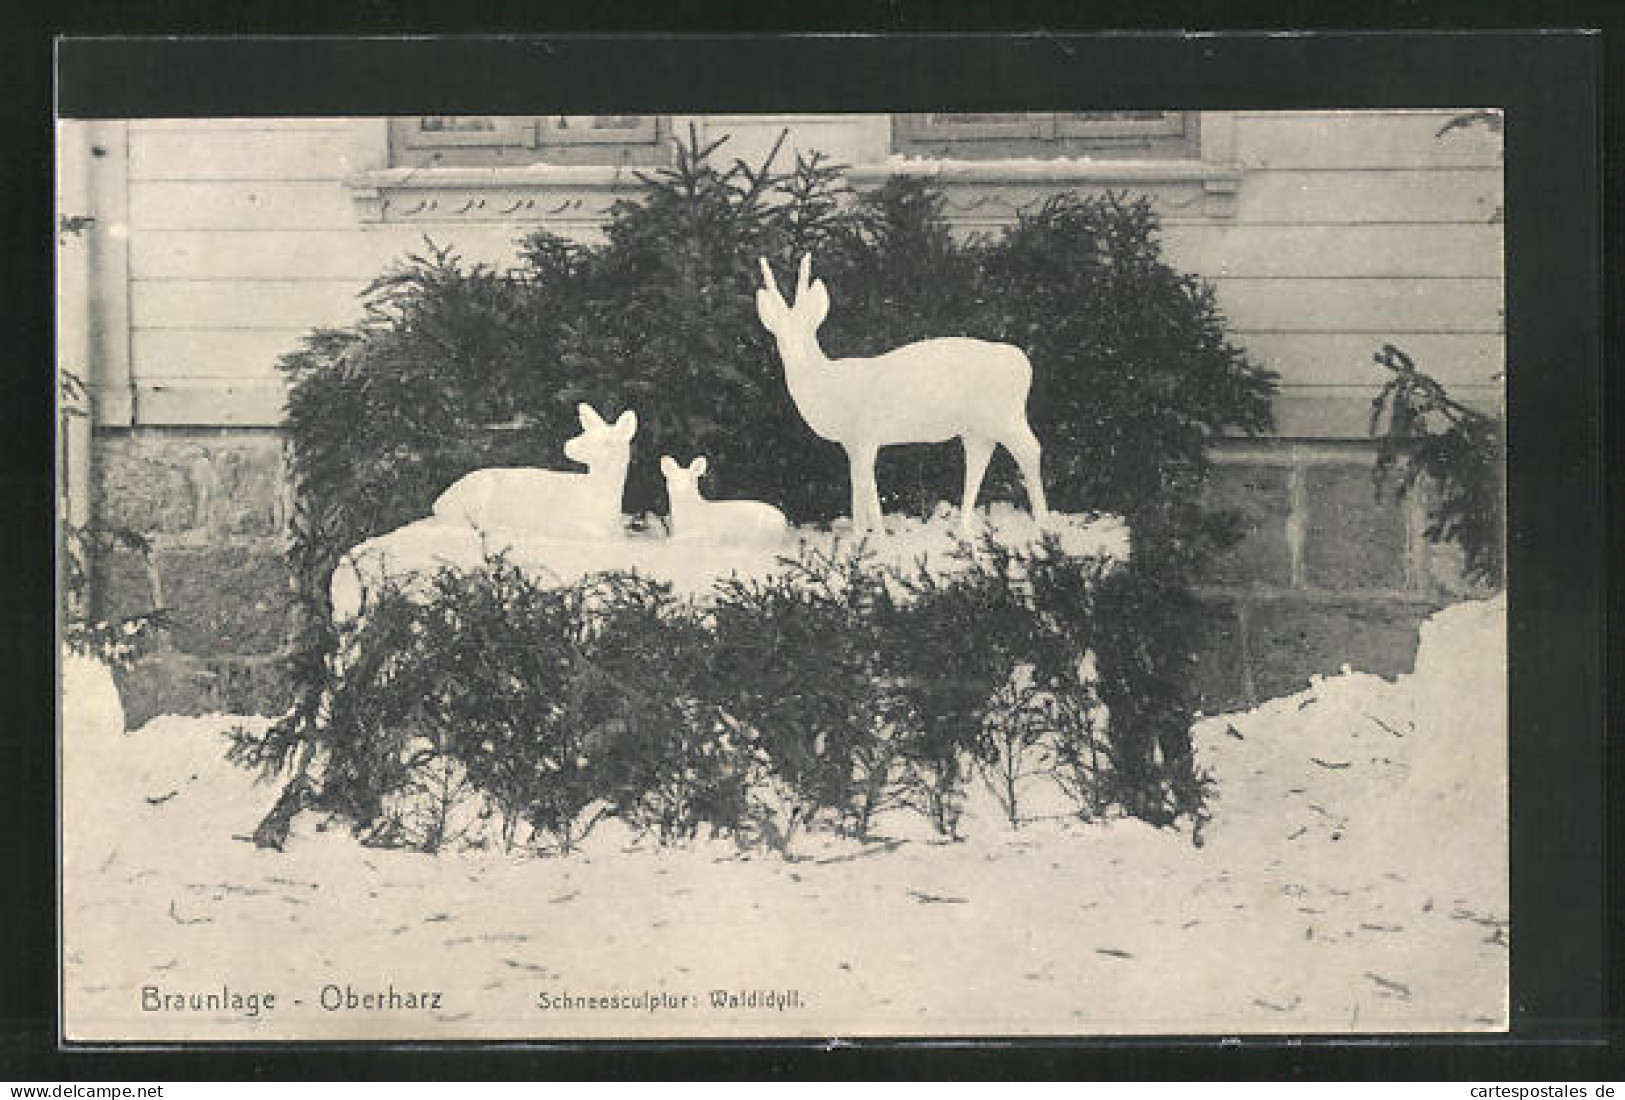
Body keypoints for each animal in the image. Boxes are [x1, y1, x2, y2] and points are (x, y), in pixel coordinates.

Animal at [432, 402, 633, 539]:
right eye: (585, 433)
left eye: (607, 442)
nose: (568, 445)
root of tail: (439, 503)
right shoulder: (561, 522)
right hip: (482, 491)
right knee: (482, 525)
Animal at [750, 253, 1046, 536]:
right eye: (779, 335)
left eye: (808, 332)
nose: (795, 356)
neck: (828, 386)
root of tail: (1024, 363)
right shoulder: (851, 442)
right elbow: (861, 490)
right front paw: (865, 539)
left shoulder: (866, 434)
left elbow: (866, 491)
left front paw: (872, 539)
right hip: (977, 428)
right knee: (978, 462)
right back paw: (964, 531)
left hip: (1006, 415)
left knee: (1031, 450)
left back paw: (1043, 526)